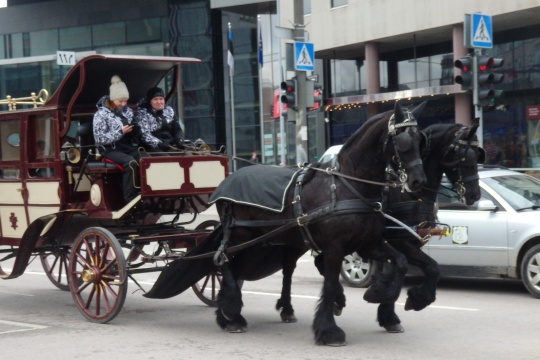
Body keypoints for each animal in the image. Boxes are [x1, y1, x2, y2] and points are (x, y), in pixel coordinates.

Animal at [143, 102, 426, 346]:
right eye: (403, 142)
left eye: (420, 139)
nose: (418, 182)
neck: (347, 185)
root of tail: (227, 180)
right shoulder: (335, 248)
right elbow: (330, 284)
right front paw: (329, 330)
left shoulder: (368, 243)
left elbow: (400, 262)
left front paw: (383, 299)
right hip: (239, 235)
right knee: (223, 262)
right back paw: (231, 313)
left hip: (263, 240)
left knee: (248, 267)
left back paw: (236, 313)